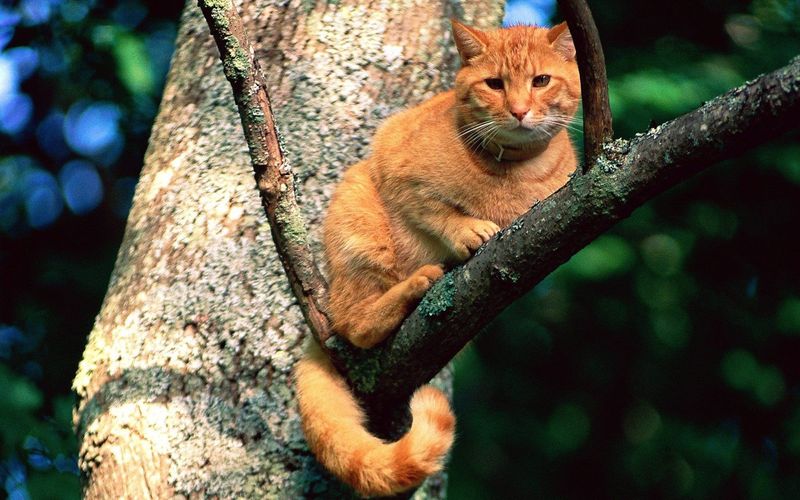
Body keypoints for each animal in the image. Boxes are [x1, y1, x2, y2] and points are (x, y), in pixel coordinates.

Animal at [296, 20, 580, 496]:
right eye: (494, 84)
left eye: (541, 81)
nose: (520, 110)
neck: (510, 173)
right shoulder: (399, 169)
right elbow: (438, 211)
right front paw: (468, 230)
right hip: (360, 224)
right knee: (354, 325)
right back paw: (417, 283)